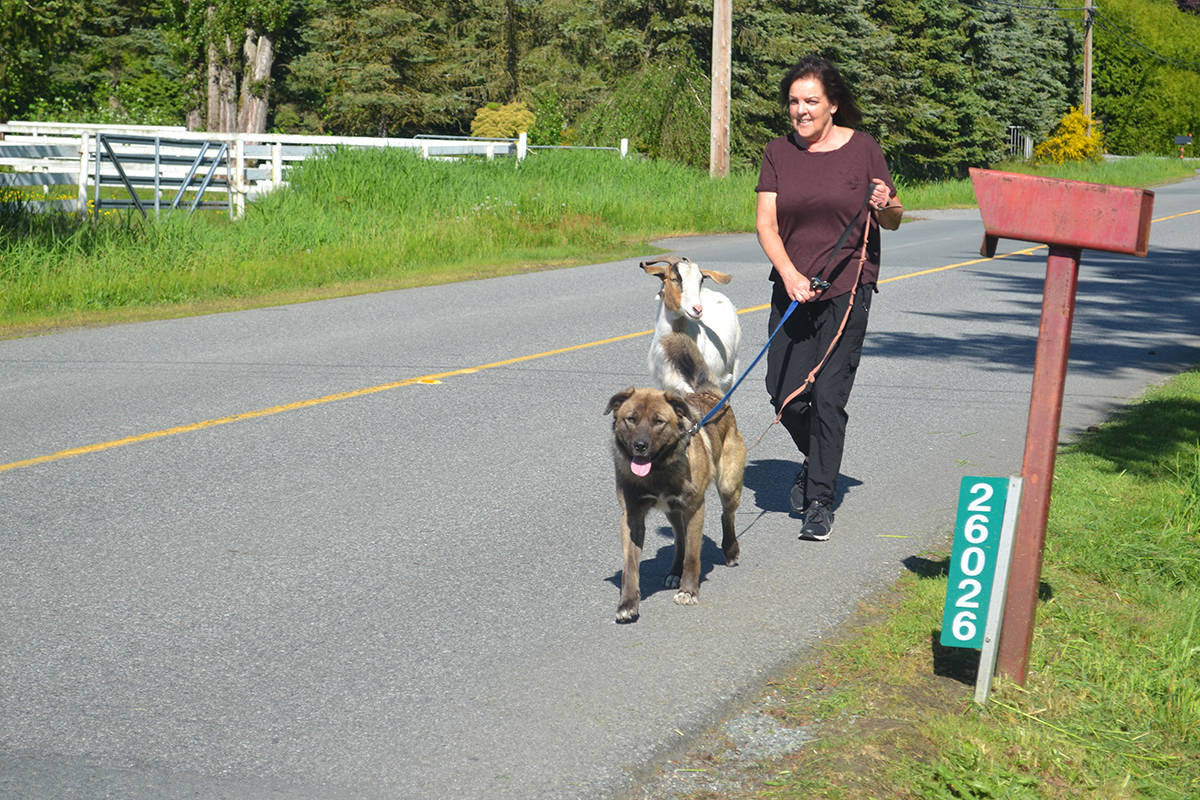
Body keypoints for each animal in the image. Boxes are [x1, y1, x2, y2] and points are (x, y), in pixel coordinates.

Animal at [604, 335, 744, 623]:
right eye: (631, 419)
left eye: (659, 421)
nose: (640, 446)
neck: (658, 471)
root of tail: (712, 396)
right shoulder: (632, 515)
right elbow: (630, 565)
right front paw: (627, 604)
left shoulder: (694, 508)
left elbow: (693, 554)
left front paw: (688, 591)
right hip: (672, 511)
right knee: (679, 537)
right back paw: (674, 571)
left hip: (728, 485)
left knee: (726, 516)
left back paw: (730, 550)